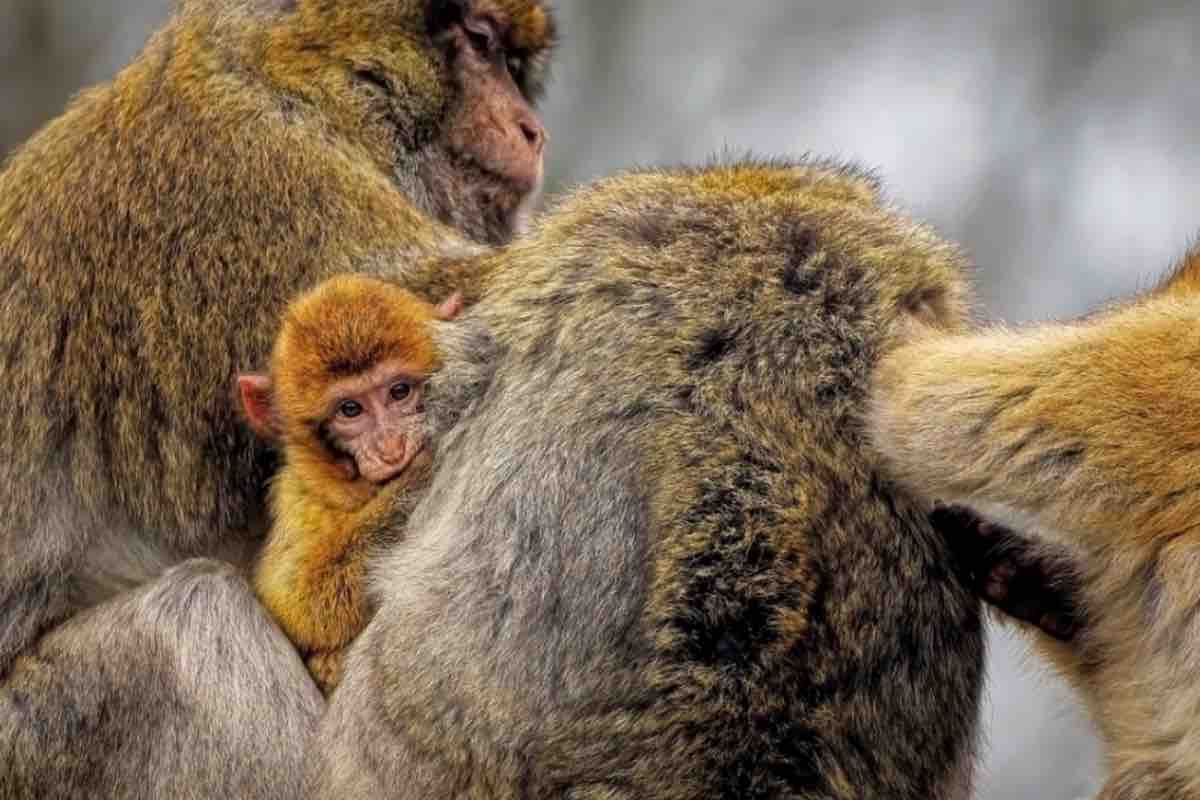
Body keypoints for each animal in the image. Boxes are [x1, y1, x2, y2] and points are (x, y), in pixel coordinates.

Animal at [237, 275, 461, 694]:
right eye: (350, 410)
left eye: (399, 391)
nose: (391, 446)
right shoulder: (299, 497)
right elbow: (295, 601)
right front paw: (419, 473)